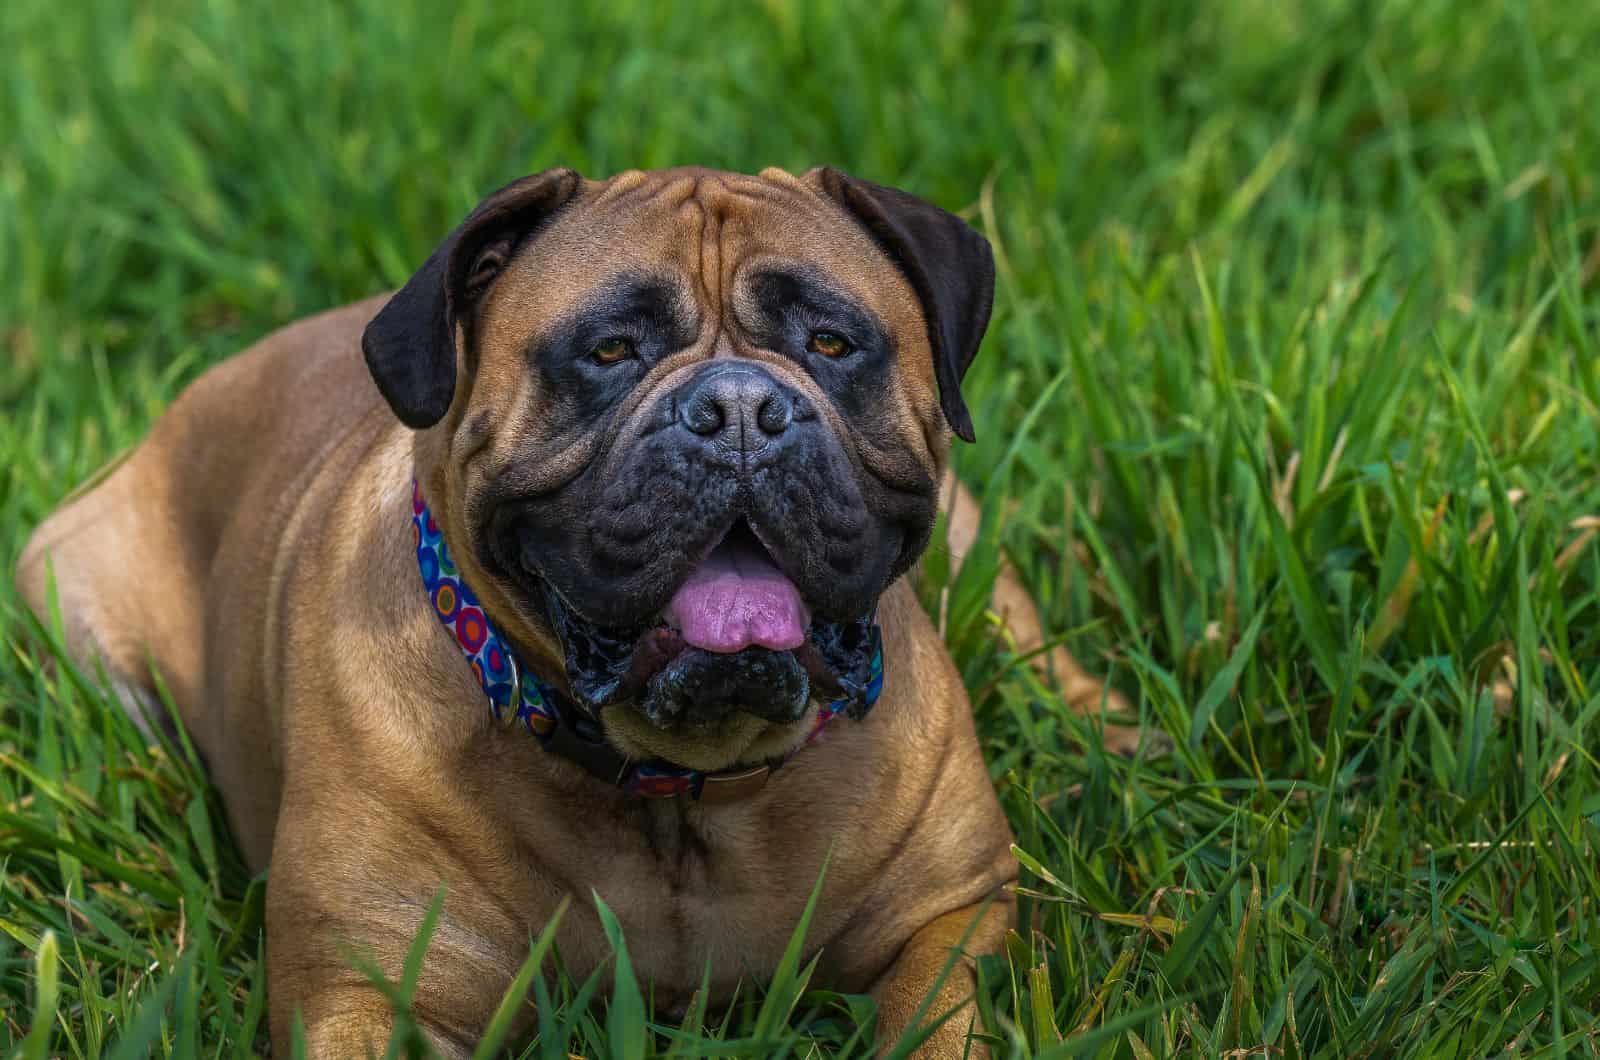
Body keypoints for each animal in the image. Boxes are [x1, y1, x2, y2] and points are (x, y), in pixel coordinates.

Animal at [21, 164, 1126, 1056]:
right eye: (608, 351)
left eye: (830, 341)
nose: (738, 408)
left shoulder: (947, 919)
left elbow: (936, 1018)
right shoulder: (368, 991)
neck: (681, 789)